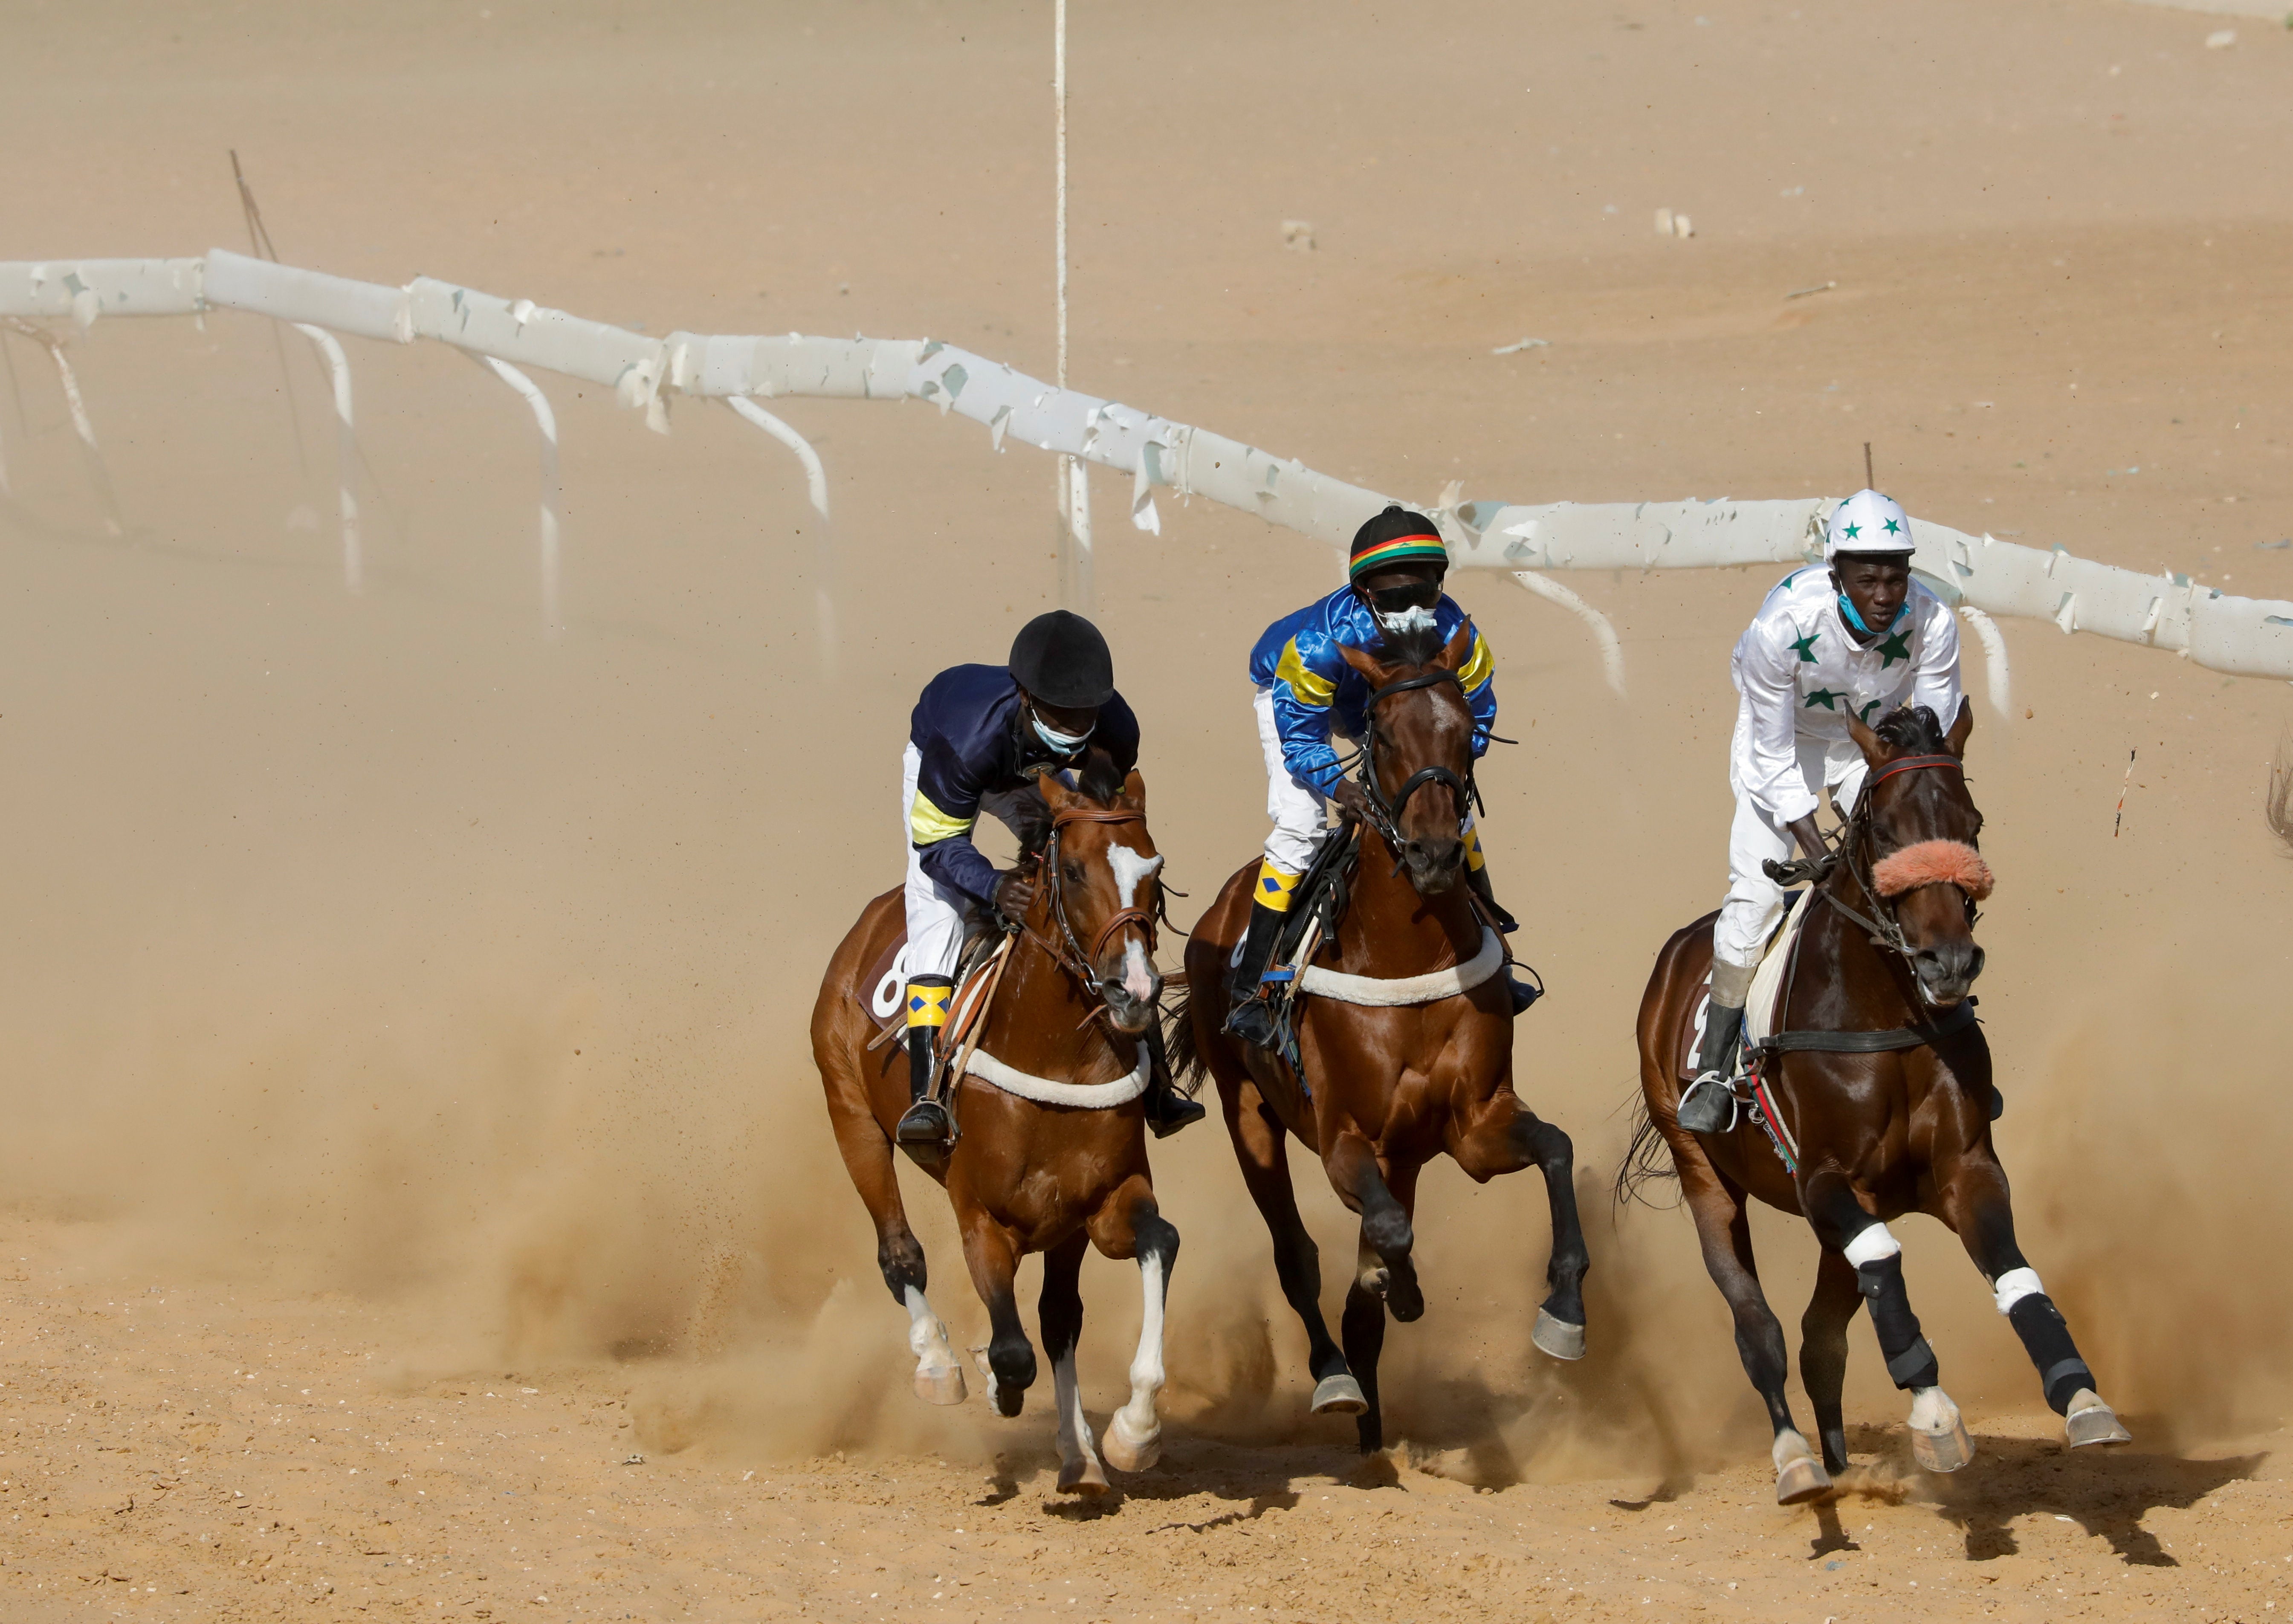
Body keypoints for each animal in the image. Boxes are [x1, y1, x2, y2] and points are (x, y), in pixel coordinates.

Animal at [816, 757, 1183, 1486]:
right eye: (1074, 870)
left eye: (1153, 869)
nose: (1134, 991)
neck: (1056, 1057)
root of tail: (869, 921)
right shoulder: (982, 1219)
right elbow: (1012, 1351)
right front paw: (989, 1376)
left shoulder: (1101, 1203)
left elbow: (1157, 1244)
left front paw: (1131, 1432)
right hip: (852, 1119)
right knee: (899, 1252)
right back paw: (938, 1364)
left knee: (1058, 1317)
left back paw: (1077, 1450)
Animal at [1174, 619, 1587, 1450]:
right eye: (1386, 733)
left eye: (1463, 732)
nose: (1432, 853)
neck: (1406, 953)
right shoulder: (1342, 1138)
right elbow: (1385, 1234)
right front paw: (1398, 1287)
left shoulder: (1473, 1124)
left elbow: (1555, 1148)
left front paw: (1562, 1311)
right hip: (1248, 1113)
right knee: (1295, 1254)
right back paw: (1336, 1377)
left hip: (1400, 1151)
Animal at [1633, 702, 2128, 1505]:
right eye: (1888, 832)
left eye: (1971, 823)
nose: (1947, 962)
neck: (1884, 1015)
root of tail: (1678, 949)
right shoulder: (1824, 1178)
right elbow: (1879, 1263)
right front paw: (1932, 1413)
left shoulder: (1960, 1167)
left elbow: (2009, 1271)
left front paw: (2081, 1395)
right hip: (1702, 1173)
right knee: (1759, 1328)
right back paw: (1797, 1460)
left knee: (1819, 1333)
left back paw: (1835, 1460)